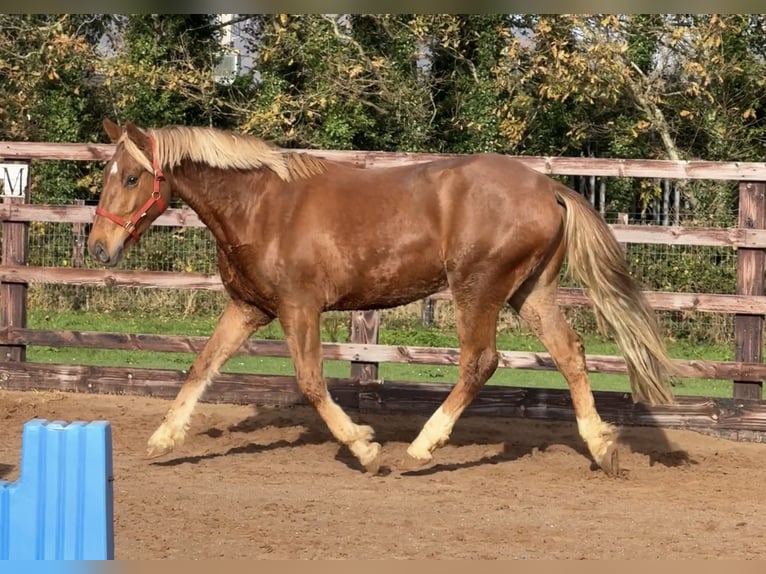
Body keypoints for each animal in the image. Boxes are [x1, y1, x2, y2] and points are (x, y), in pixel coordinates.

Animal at [87, 118, 676, 476]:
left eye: (133, 177)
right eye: (108, 173)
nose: (98, 247)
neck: (263, 209)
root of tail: (549, 187)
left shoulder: (300, 309)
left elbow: (310, 382)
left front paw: (366, 448)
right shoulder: (248, 308)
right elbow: (201, 366)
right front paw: (164, 440)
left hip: (478, 287)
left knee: (480, 361)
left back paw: (422, 446)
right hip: (530, 292)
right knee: (570, 352)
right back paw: (602, 448)